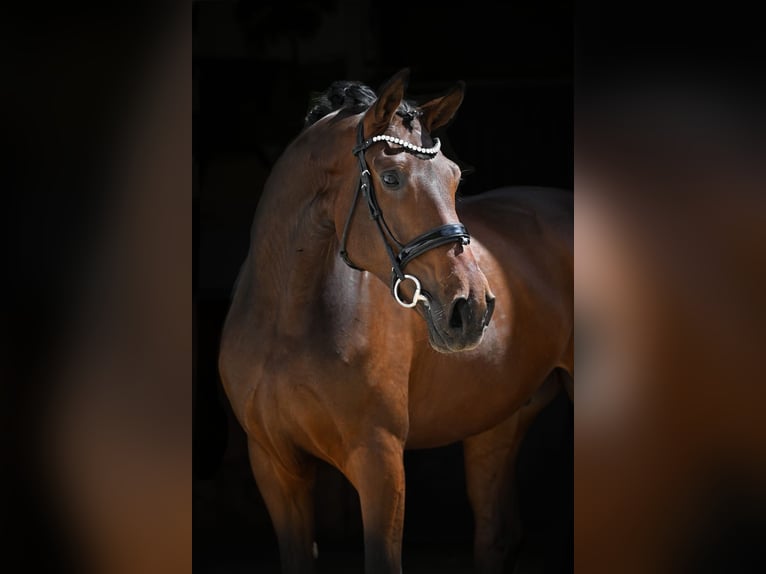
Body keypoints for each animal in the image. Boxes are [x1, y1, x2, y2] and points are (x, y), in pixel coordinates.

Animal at [218, 68, 573, 574]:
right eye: (390, 178)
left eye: (454, 178)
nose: (473, 308)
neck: (285, 324)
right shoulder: (275, 467)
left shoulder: (380, 462)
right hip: (497, 422)